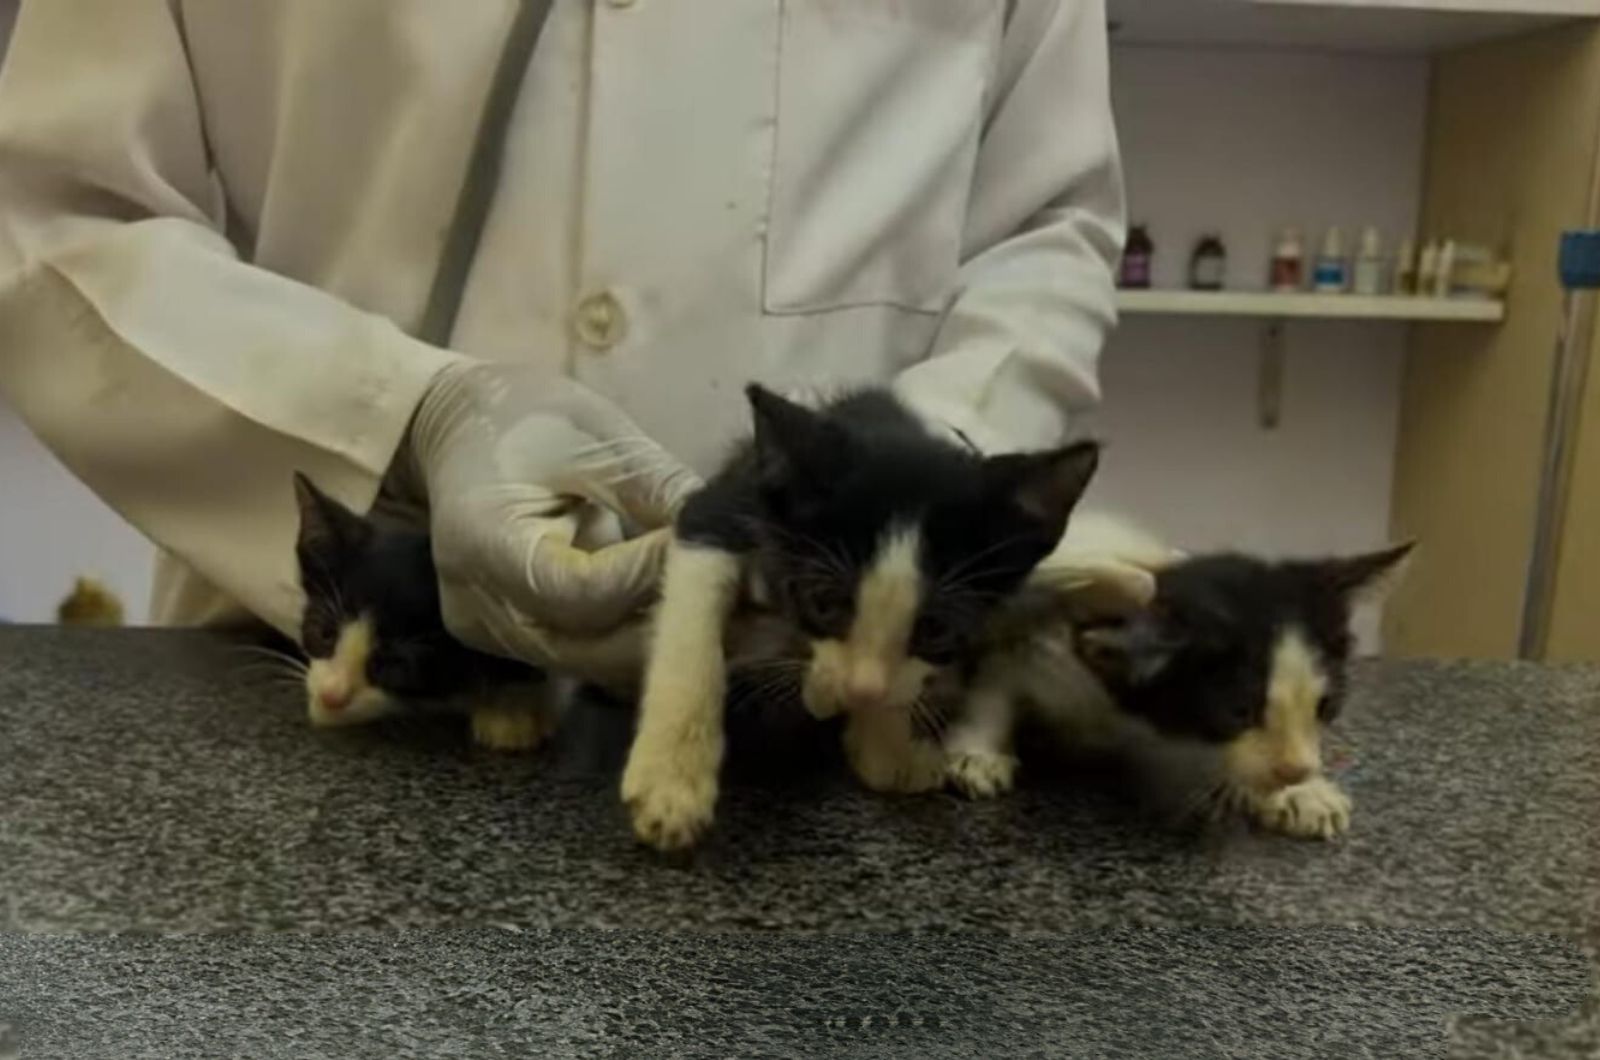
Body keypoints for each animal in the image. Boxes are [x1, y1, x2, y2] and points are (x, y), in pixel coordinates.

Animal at [614, 385, 1100, 851]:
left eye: (936, 628)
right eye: (825, 605)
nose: (859, 690)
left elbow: (903, 687)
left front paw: (888, 750)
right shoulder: (721, 506)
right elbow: (691, 631)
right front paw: (670, 785)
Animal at [940, 515, 1408, 845]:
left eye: (1325, 707)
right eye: (1238, 711)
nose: (1296, 769)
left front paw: (1304, 792)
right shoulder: (1038, 634)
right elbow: (995, 680)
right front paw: (977, 752)